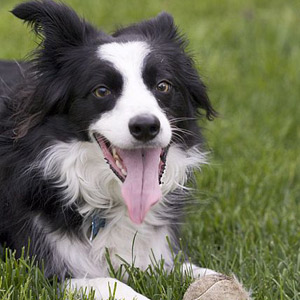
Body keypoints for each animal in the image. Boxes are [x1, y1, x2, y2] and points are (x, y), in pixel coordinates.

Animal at [0, 1, 220, 298]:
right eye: (102, 91)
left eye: (163, 86)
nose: (145, 126)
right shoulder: (41, 270)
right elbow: (107, 282)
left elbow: (190, 269)